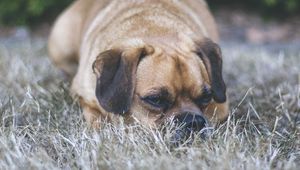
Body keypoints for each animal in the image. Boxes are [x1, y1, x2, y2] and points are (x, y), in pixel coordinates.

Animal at [48, 0, 229, 138]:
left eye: (206, 97)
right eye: (155, 99)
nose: (193, 122)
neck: (156, 29)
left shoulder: (220, 108)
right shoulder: (84, 96)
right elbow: (98, 118)